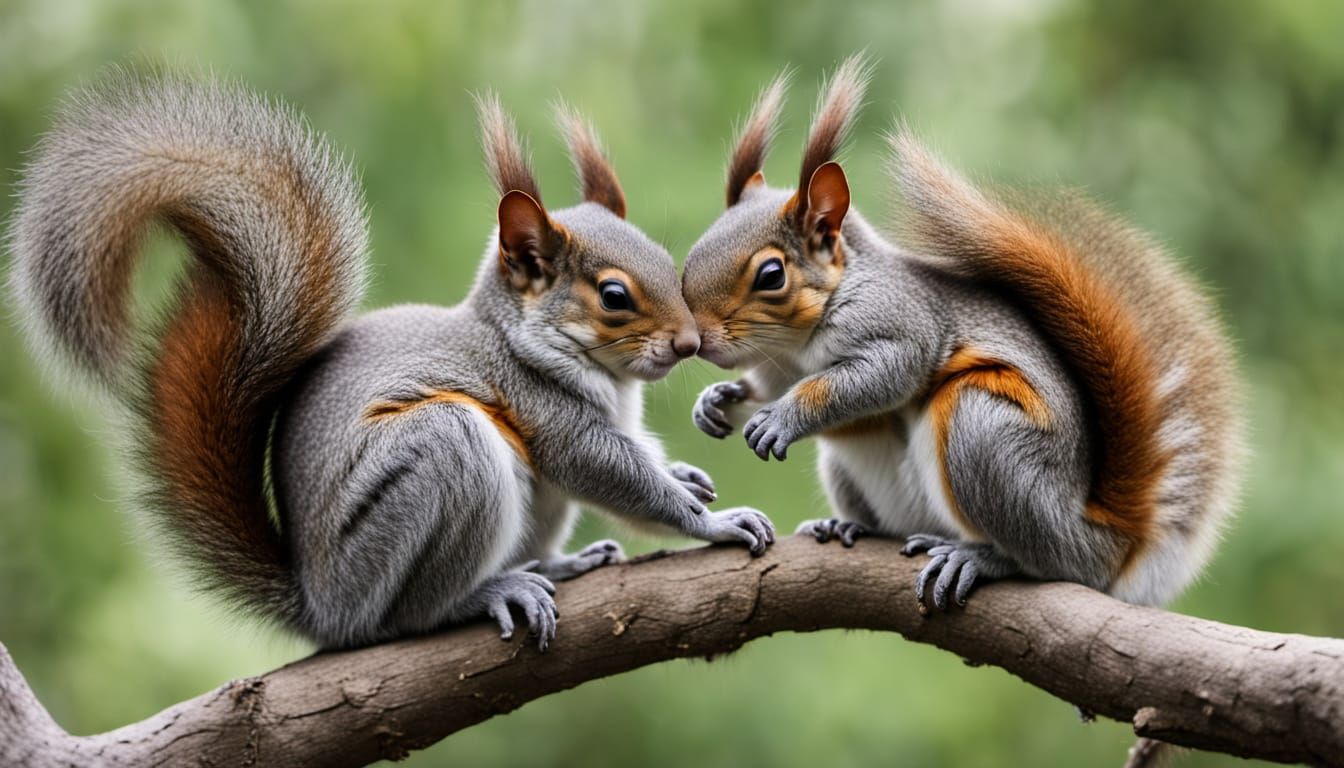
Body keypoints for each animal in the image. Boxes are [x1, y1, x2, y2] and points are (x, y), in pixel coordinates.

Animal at [8, 72, 774, 651]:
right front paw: (711, 521)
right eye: (614, 296)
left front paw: (684, 474)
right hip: (436, 462)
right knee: (408, 616)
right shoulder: (545, 411)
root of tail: (324, 609)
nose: (688, 344)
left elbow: (641, 455)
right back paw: (486, 592)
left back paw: (564, 562)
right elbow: (612, 473)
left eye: (668, 260)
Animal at [681, 55, 1243, 612]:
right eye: (697, 245)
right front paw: (717, 402)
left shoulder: (902, 325)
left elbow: (878, 376)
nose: (699, 341)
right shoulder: (776, 369)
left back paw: (981, 557)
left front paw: (782, 418)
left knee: (1050, 561)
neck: (793, 346)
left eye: (771, 275)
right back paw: (848, 525)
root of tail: (1106, 546)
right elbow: (763, 390)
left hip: (986, 433)